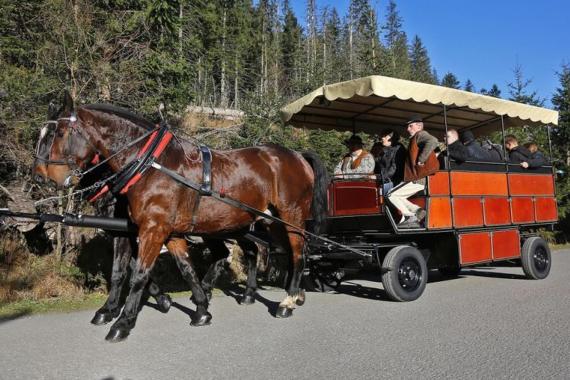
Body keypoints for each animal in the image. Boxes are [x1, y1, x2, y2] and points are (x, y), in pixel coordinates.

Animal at [35, 94, 326, 342]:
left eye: (59, 133)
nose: (40, 175)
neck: (150, 165)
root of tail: (297, 155)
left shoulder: (152, 229)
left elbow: (138, 274)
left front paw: (123, 322)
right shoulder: (163, 232)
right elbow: (180, 269)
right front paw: (201, 309)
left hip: (291, 216)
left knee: (297, 253)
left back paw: (287, 302)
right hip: (270, 222)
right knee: (283, 252)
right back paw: (292, 294)